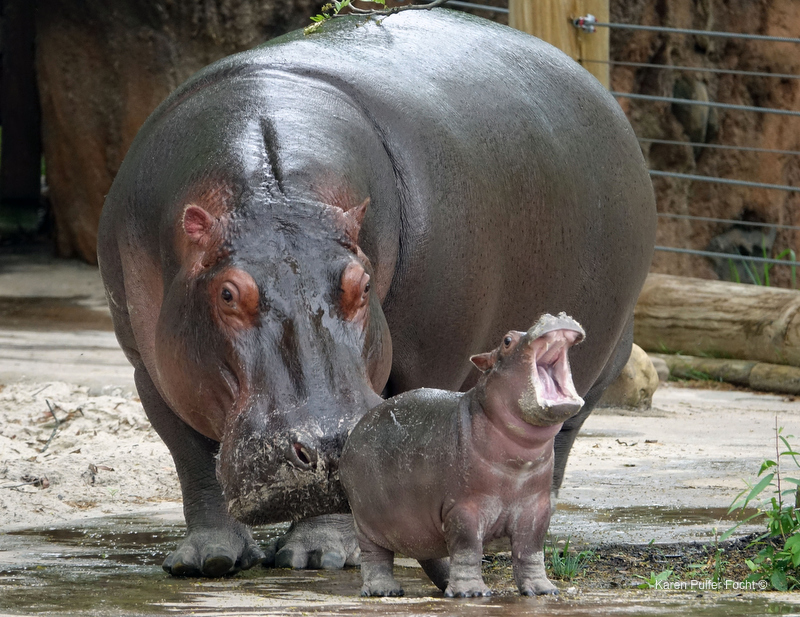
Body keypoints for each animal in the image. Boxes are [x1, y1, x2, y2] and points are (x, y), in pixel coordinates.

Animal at [340, 312, 584, 596]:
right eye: (507, 340)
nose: (554, 316)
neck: (520, 461)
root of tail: (355, 430)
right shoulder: (463, 509)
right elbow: (468, 549)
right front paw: (471, 592)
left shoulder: (536, 508)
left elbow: (530, 551)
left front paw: (544, 590)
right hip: (366, 523)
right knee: (375, 556)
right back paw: (384, 590)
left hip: (419, 524)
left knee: (431, 555)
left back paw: (445, 584)